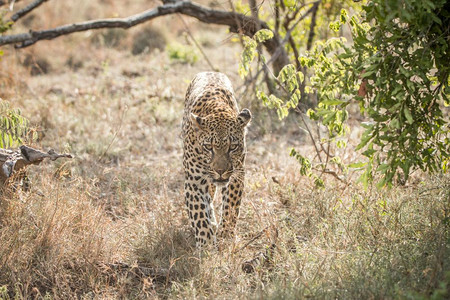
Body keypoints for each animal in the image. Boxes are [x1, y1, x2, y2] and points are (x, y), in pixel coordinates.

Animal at [183, 71, 253, 248]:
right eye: (209, 147)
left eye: (232, 147)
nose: (220, 171)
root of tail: (210, 71)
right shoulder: (194, 180)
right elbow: (199, 214)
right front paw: (206, 245)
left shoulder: (237, 174)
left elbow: (231, 207)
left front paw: (225, 235)